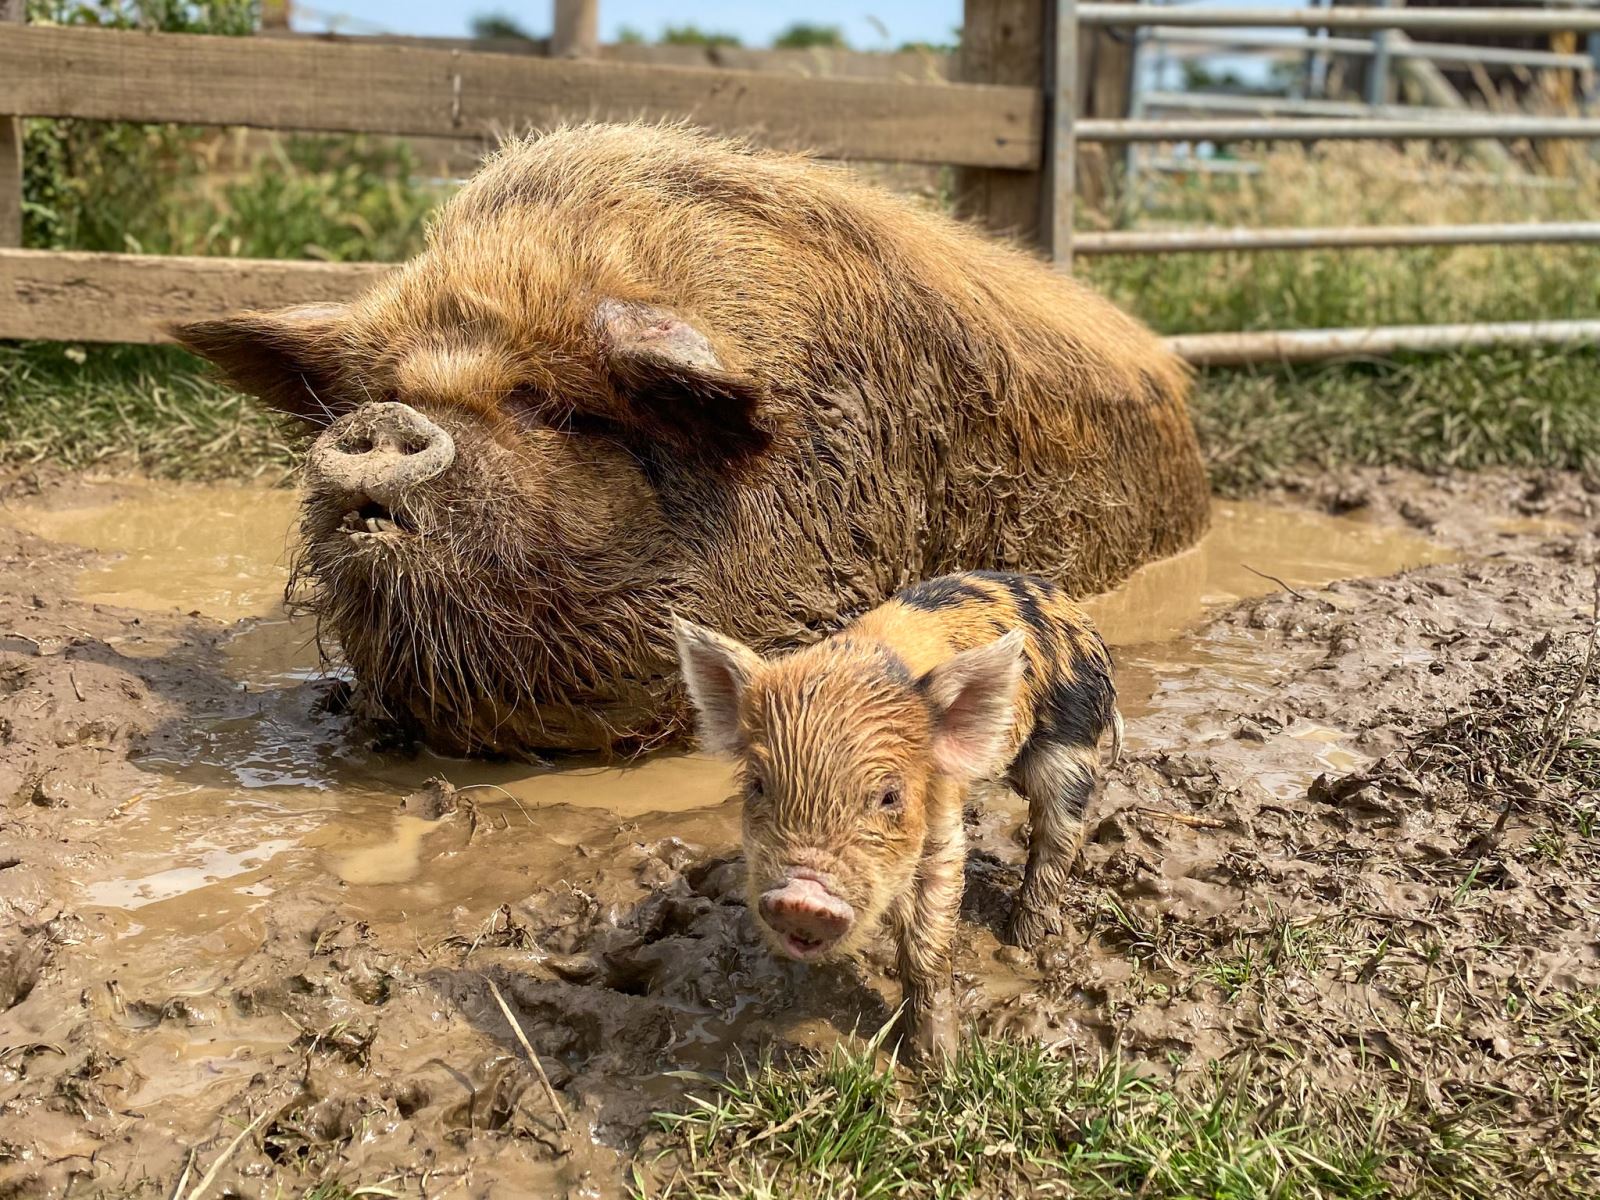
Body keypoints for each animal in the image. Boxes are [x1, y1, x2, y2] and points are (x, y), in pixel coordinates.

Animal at [668, 569, 1120, 1056]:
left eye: (889, 796)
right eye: (758, 785)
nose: (803, 897)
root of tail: (1074, 611)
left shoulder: (941, 824)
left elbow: (929, 935)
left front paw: (936, 1058)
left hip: (1071, 747)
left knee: (1059, 836)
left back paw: (1025, 942)